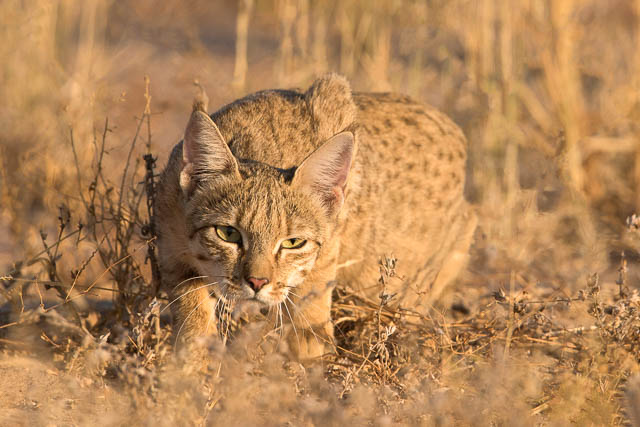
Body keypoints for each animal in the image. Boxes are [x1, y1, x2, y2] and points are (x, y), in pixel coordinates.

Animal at [155, 74, 476, 362]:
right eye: (228, 233)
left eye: (293, 242)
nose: (257, 282)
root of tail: (455, 129)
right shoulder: (170, 245)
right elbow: (191, 311)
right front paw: (191, 369)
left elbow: (310, 311)